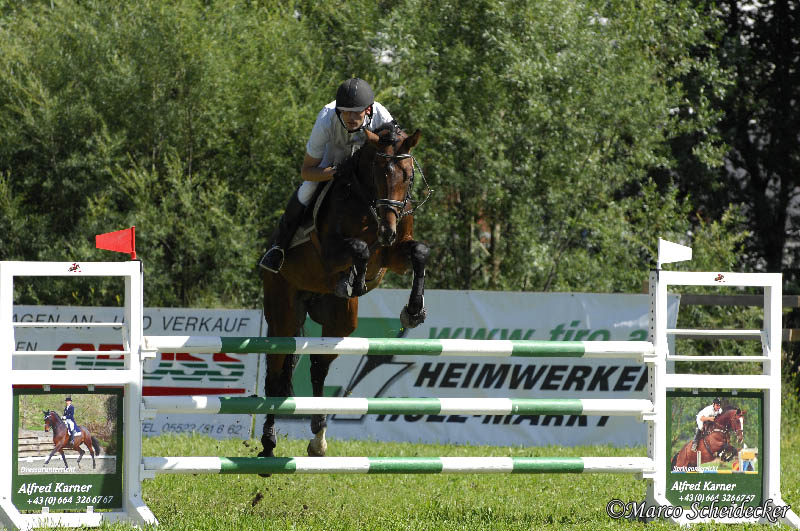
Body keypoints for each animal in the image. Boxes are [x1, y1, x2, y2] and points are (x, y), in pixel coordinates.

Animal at [258, 124, 430, 463]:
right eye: (378, 172)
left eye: (407, 175)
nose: (387, 231)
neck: (367, 203)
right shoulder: (332, 252)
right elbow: (360, 248)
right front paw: (356, 279)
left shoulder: (394, 255)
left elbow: (419, 252)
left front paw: (413, 311)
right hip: (282, 313)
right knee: (275, 374)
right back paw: (269, 443)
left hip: (339, 321)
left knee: (318, 367)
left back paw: (318, 436)